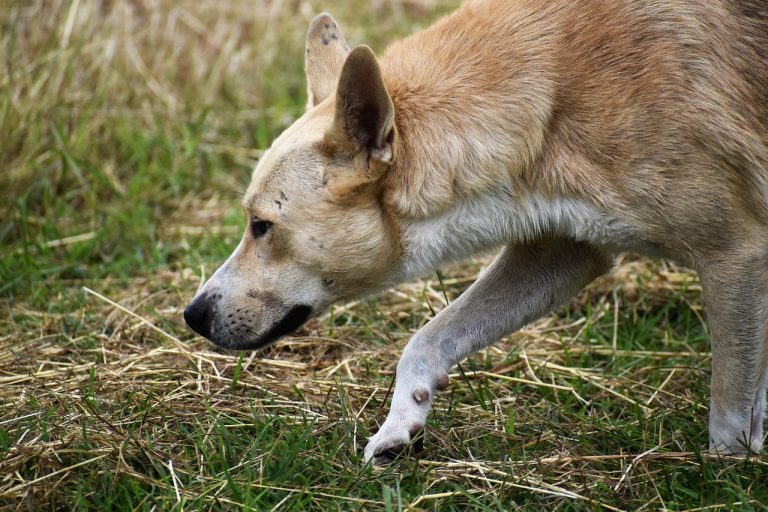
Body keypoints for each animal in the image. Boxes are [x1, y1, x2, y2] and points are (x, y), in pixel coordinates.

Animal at [186, 0, 768, 462]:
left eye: (262, 226)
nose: (192, 315)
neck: (555, 103)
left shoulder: (736, 255)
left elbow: (729, 414)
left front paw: (726, 476)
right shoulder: (565, 252)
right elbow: (424, 340)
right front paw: (400, 425)